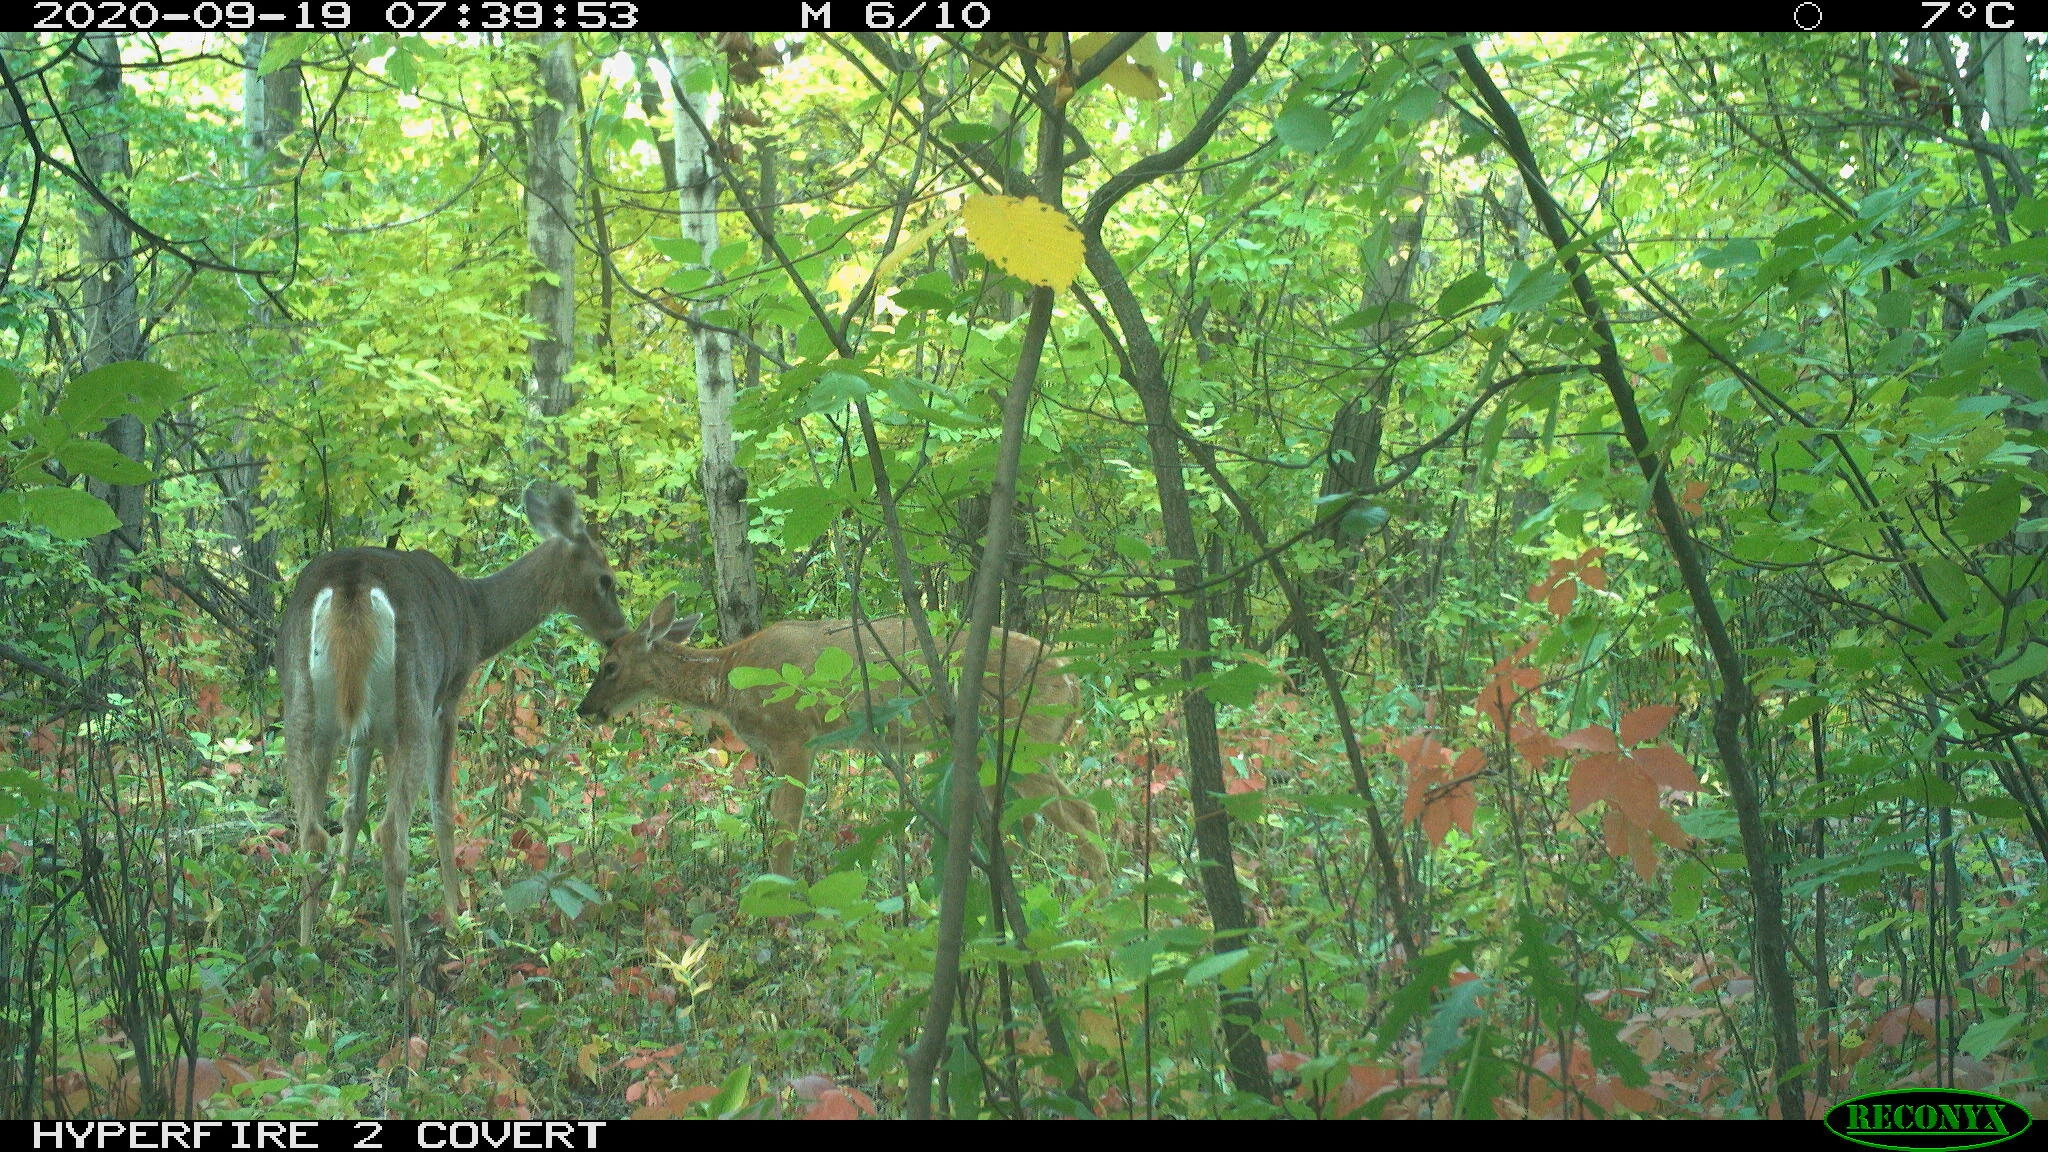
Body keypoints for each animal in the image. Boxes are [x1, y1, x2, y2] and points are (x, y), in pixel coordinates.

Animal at [277, 481, 627, 999]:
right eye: (606, 579)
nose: (620, 633)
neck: (476, 616)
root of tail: (350, 584)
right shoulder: (451, 693)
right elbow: (443, 804)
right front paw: (459, 914)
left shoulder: (363, 728)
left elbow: (353, 807)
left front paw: (338, 906)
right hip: (413, 697)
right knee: (393, 833)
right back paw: (405, 978)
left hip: (302, 705)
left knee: (309, 833)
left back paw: (304, 965)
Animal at [577, 595, 1106, 879]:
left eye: (610, 665)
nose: (586, 709)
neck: (727, 676)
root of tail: (1073, 680)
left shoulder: (793, 737)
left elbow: (786, 828)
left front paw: (777, 897)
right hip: (1013, 748)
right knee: (1051, 813)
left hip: (1023, 738)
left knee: (1079, 814)